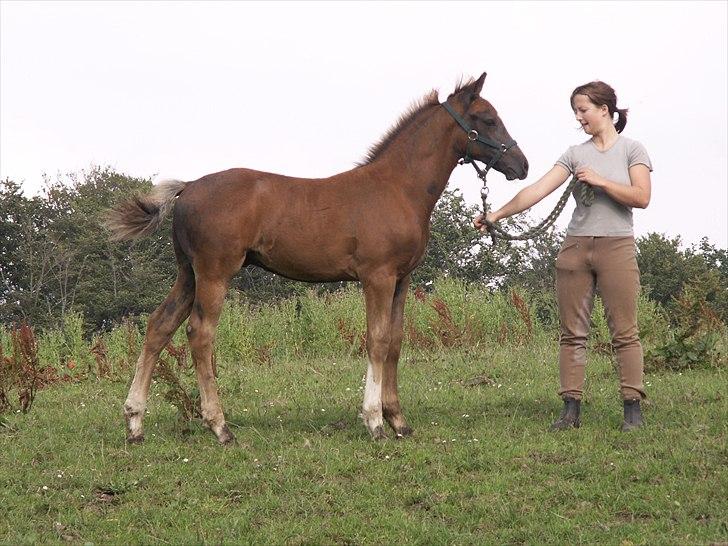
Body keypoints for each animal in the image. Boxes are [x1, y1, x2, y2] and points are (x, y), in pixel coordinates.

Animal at [106, 72, 528, 444]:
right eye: (488, 119)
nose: (522, 165)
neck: (397, 188)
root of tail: (188, 187)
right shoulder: (377, 276)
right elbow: (376, 339)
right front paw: (375, 422)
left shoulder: (401, 279)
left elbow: (395, 340)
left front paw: (399, 421)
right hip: (214, 273)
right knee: (200, 333)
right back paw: (220, 427)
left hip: (188, 273)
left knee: (159, 326)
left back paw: (135, 422)